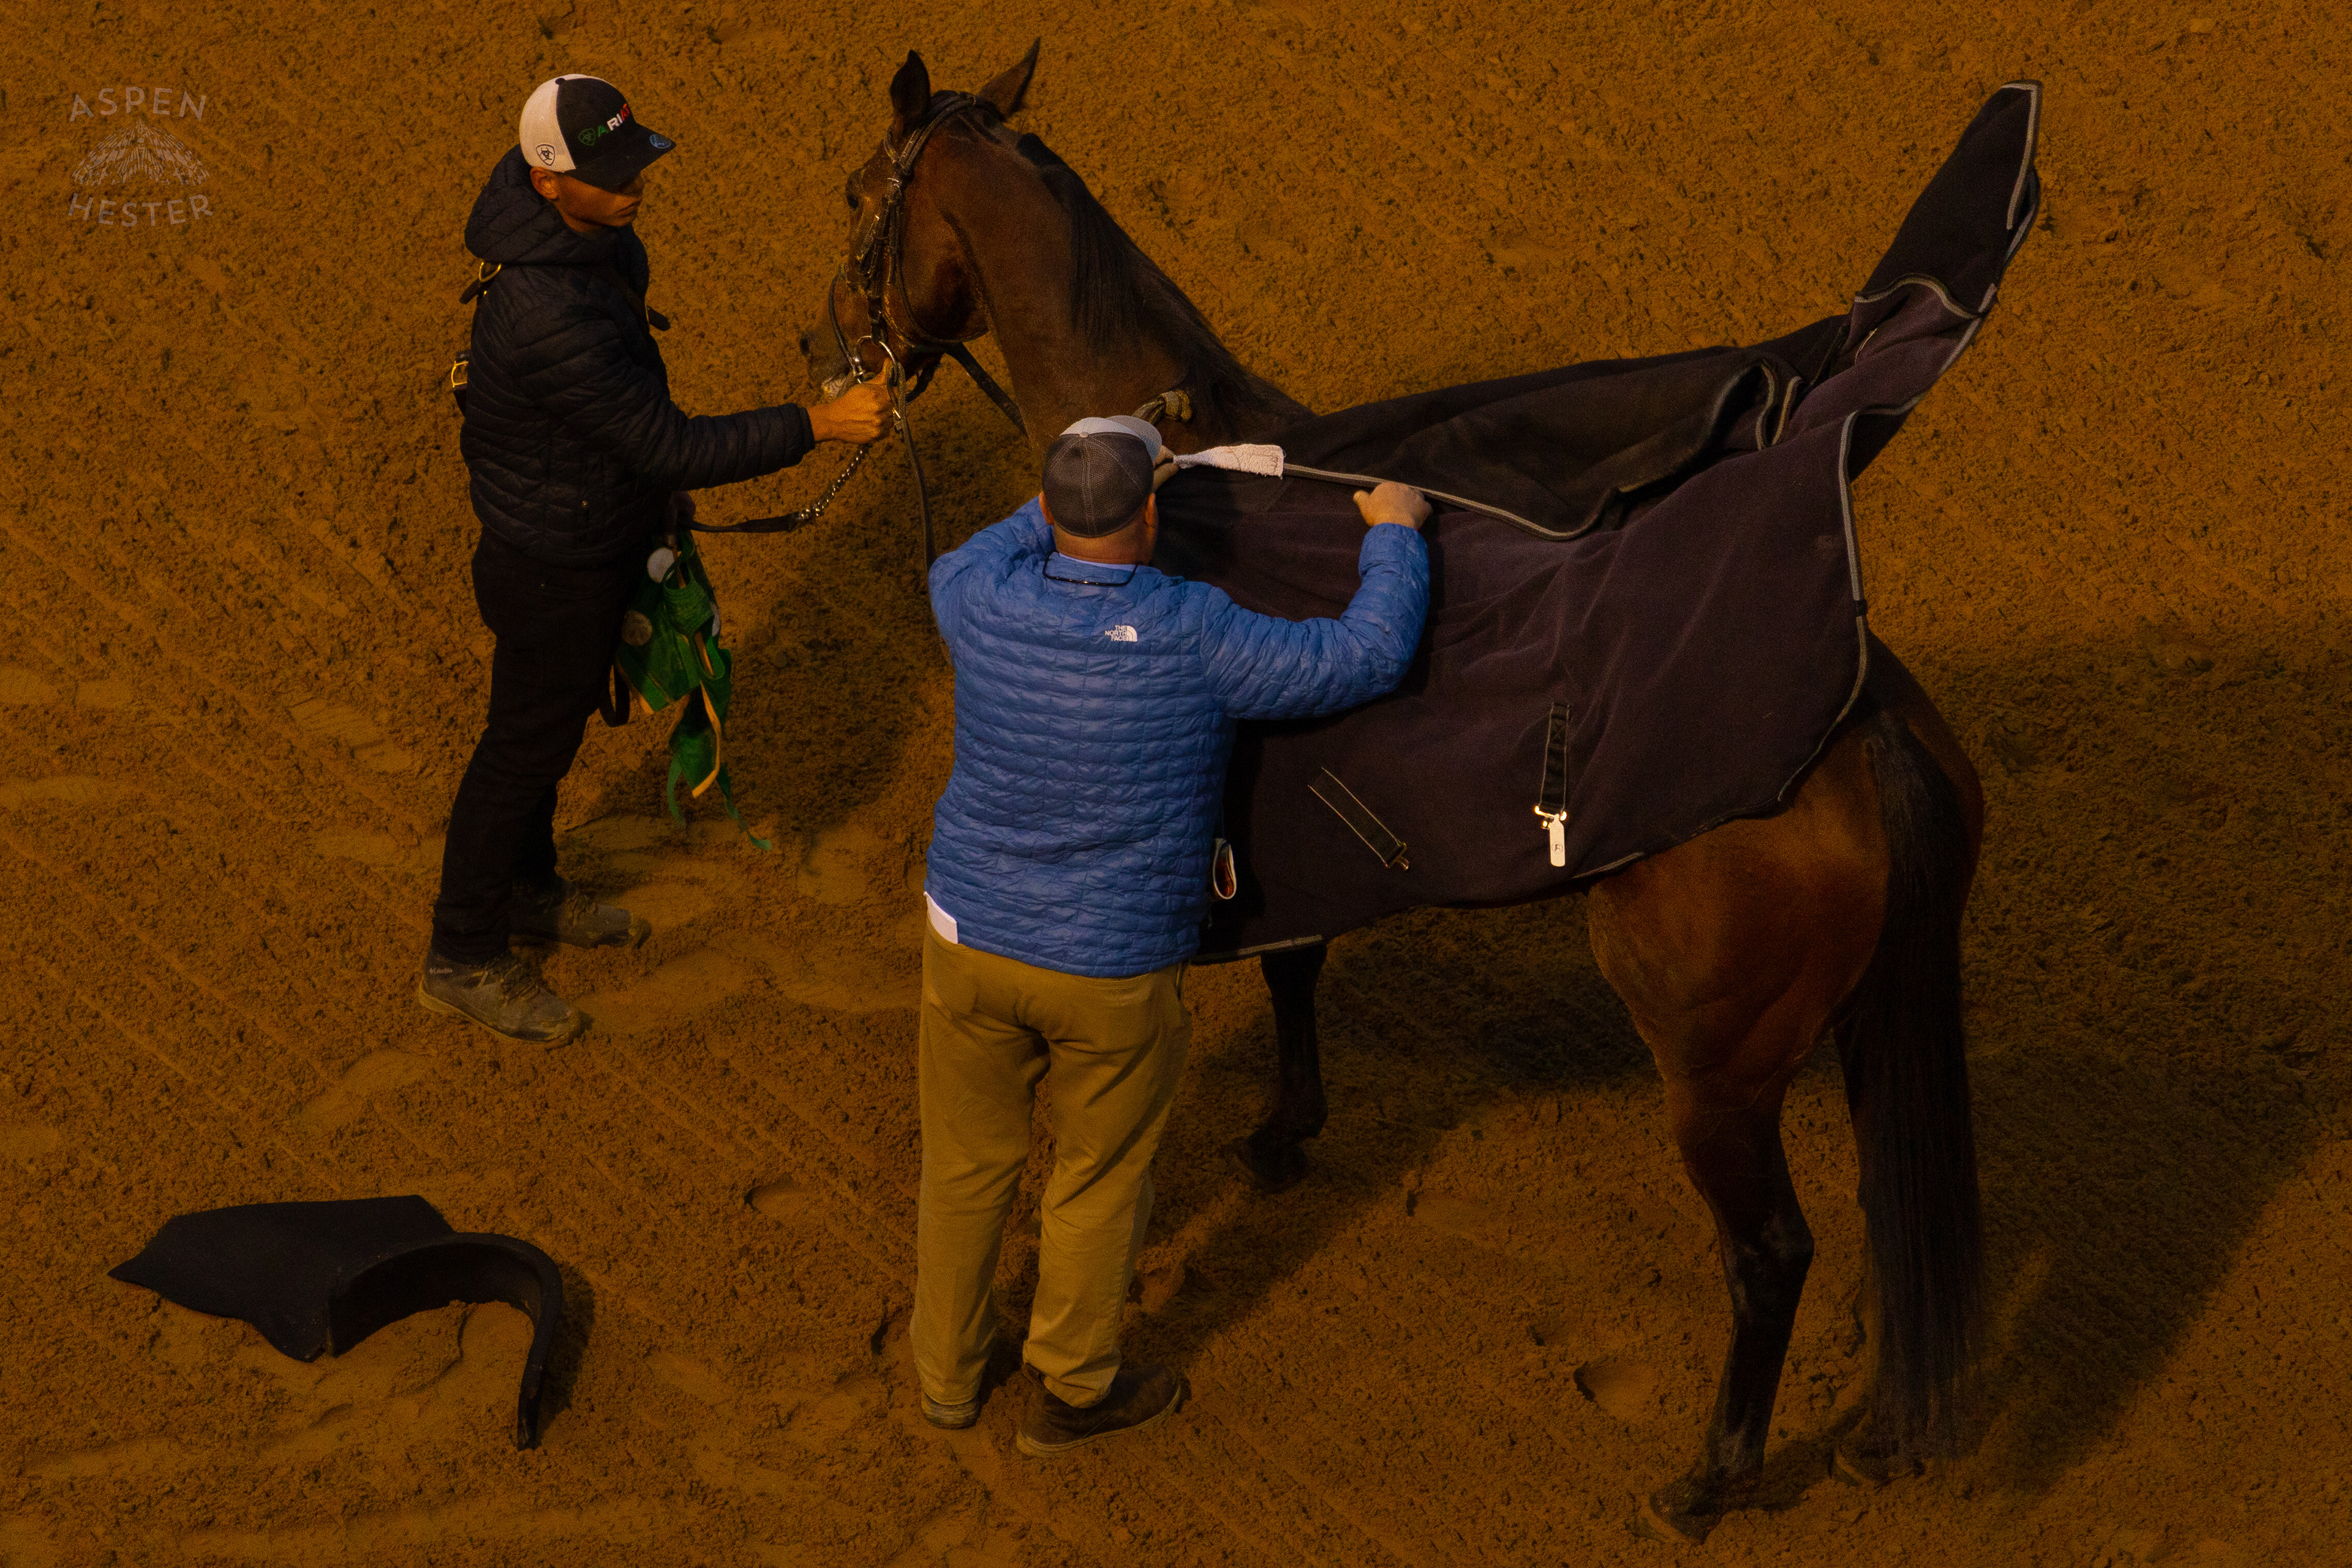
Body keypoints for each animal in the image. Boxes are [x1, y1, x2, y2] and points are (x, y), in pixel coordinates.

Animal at [800, 46, 1989, 1544]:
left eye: (860, 189)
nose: (829, 350)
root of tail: (1866, 725)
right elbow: (1297, 962)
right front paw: (1288, 1128)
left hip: (1715, 1069)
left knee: (1772, 1252)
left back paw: (1709, 1479)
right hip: (1860, 1025)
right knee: (1892, 1215)